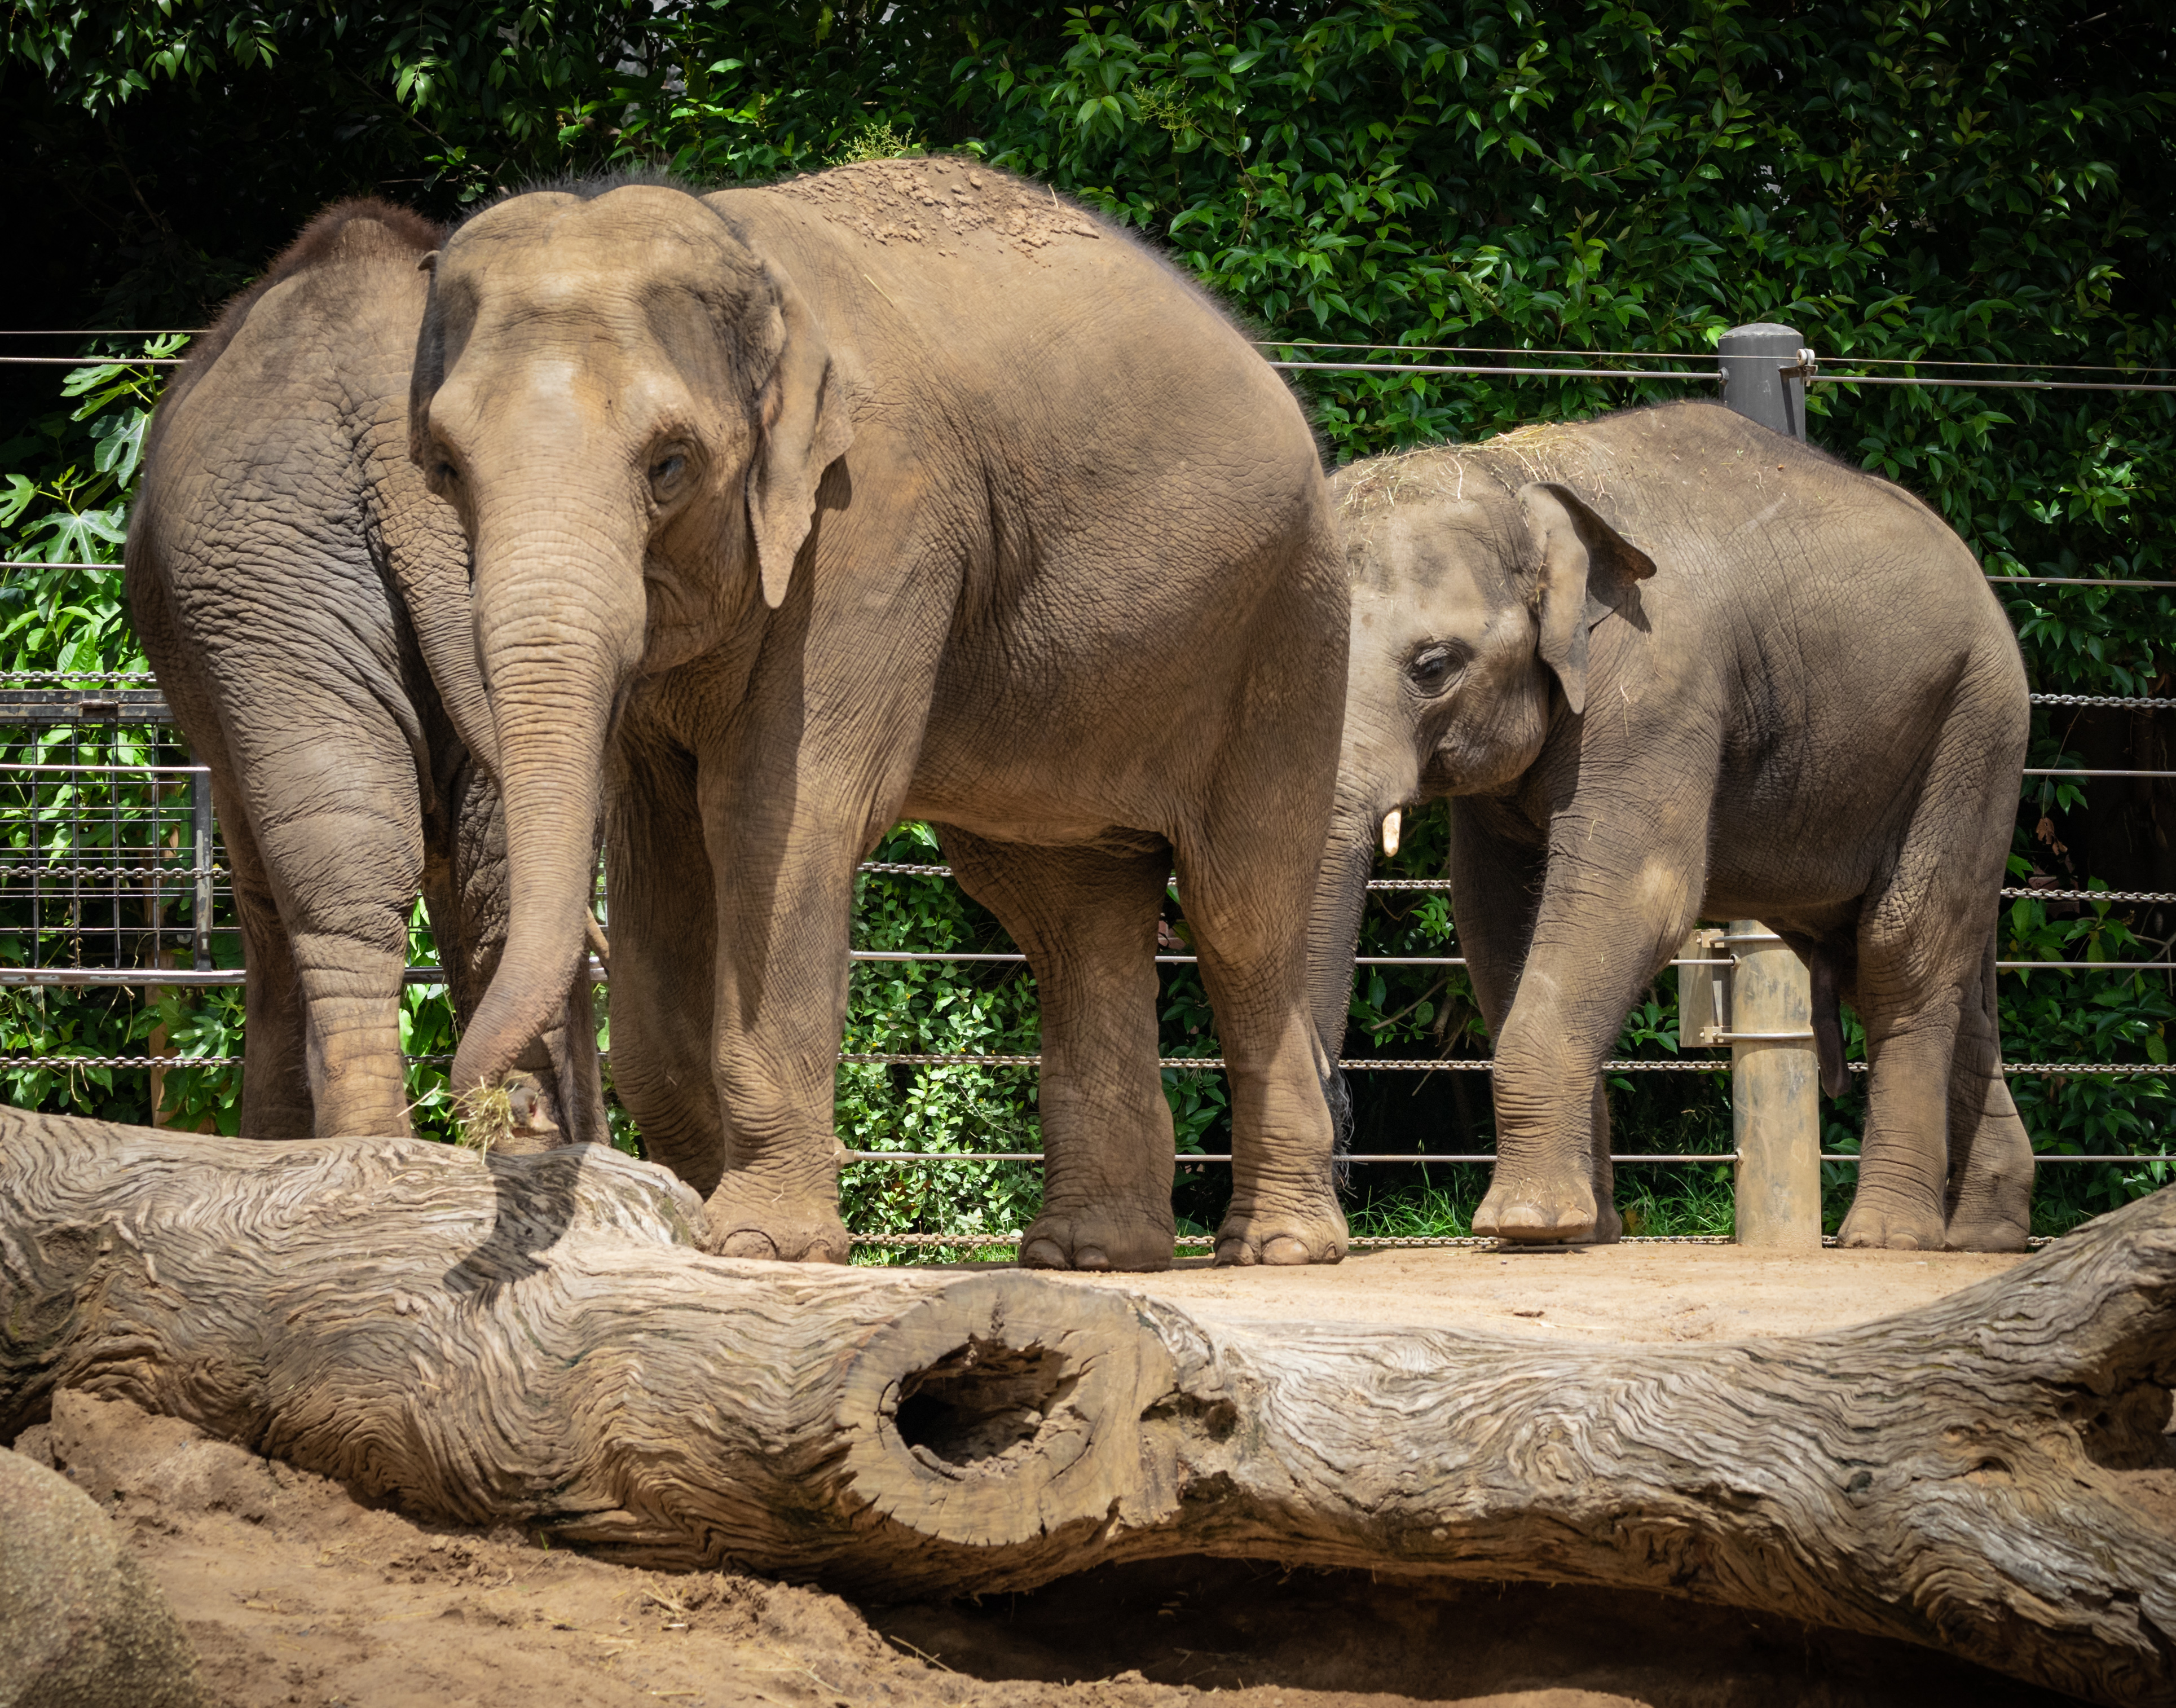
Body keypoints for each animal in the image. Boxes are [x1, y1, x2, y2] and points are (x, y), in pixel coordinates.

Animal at [125, 198, 604, 1145]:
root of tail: (394, 425)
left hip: (260, 579)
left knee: (342, 880)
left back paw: (365, 1150)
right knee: (490, 875)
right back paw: (511, 1139)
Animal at [407, 159, 1350, 1269]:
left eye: (669, 464)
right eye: (445, 467)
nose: (513, 1112)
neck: (750, 266)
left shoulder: (874, 513)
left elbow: (774, 817)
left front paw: (760, 1244)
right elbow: (661, 840)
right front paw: (696, 1217)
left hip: (1289, 632)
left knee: (1239, 911)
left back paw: (1275, 1249)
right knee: (1070, 914)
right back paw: (1088, 1256)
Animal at [1309, 401, 2033, 1251]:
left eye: (1433, 666)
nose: (1342, 1157)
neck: (1515, 473)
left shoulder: (1658, 679)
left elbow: (1632, 897)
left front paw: (1527, 1226)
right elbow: (1494, 921)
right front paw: (1584, 1230)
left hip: (1973, 725)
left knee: (1902, 952)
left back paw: (1887, 1239)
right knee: (1926, 970)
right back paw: (1985, 1236)